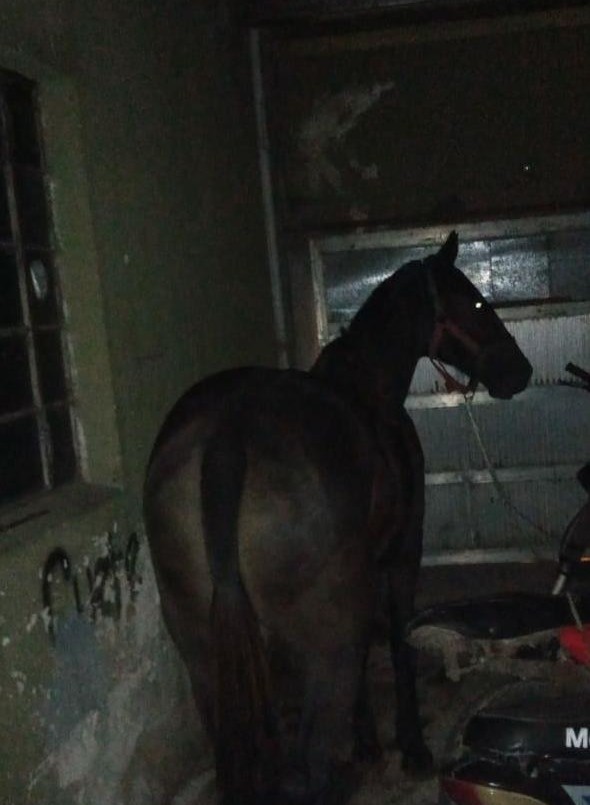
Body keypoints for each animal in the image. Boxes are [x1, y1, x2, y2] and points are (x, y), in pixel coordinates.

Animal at [143, 232, 532, 805]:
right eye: (479, 304)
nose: (519, 371)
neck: (366, 386)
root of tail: (227, 435)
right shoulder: (400, 556)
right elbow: (397, 644)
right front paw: (409, 746)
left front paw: (368, 741)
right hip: (326, 645)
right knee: (310, 763)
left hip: (203, 655)